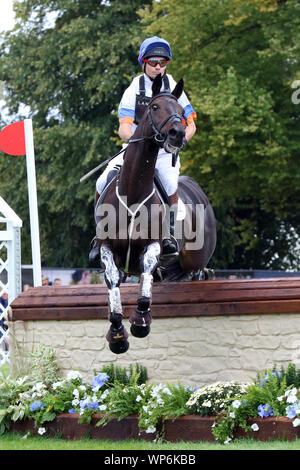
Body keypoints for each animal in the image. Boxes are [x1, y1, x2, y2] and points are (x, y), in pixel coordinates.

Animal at [95, 74, 216, 352]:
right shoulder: (106, 246)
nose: (177, 134)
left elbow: (147, 270)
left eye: (181, 110)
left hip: (193, 259)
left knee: (194, 273)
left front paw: (140, 321)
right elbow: (112, 278)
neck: (133, 191)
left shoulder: (153, 245)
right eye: (154, 107)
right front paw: (117, 332)